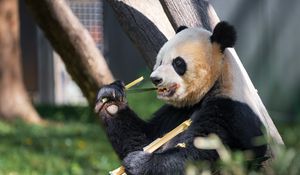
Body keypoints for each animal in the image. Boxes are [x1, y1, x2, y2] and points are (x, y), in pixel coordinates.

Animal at [95, 21, 268, 174]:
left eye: (178, 63)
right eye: (160, 61)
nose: (155, 79)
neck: (216, 81)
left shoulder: (230, 111)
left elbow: (201, 152)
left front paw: (139, 163)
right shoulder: (175, 112)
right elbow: (147, 139)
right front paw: (111, 99)